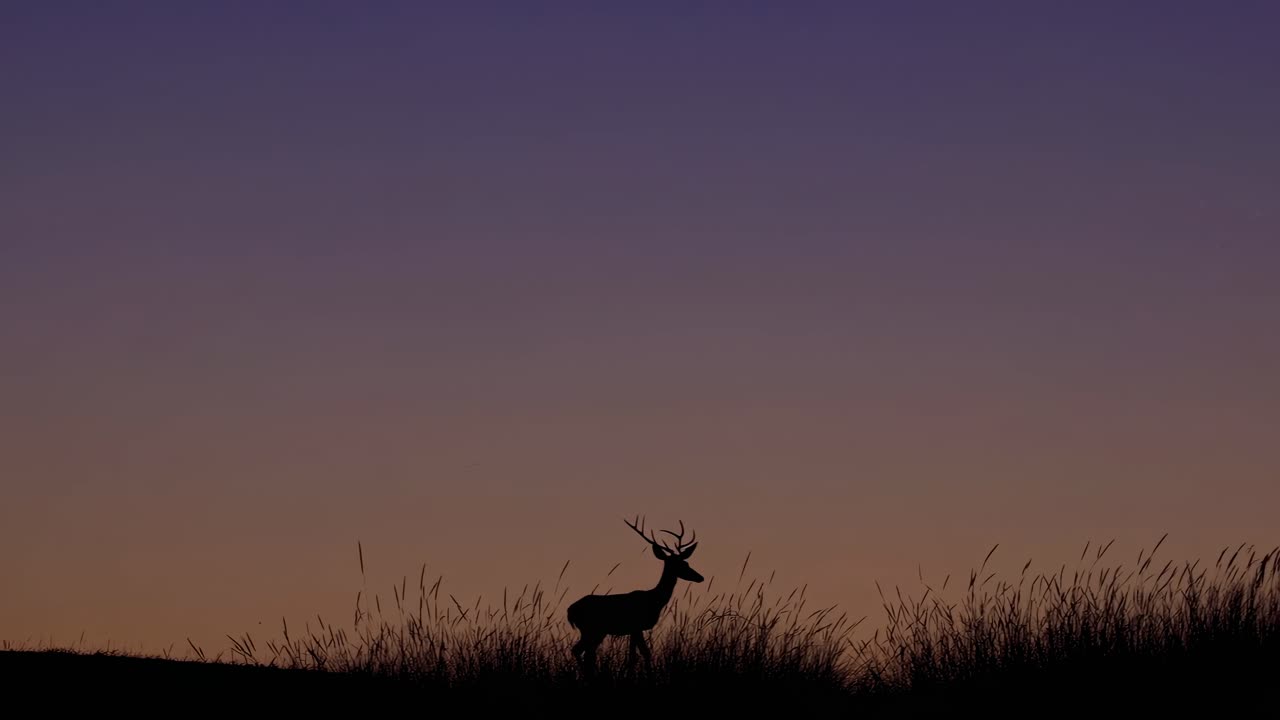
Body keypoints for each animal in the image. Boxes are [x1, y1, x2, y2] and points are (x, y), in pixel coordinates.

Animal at [567, 515, 704, 674]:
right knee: (579, 651)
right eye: (678, 564)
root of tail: (570, 611)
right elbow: (644, 653)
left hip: (597, 631)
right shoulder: (636, 625)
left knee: (586, 653)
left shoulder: (633, 629)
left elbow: (632, 656)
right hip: (590, 628)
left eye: (686, 562)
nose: (700, 577)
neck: (654, 600)